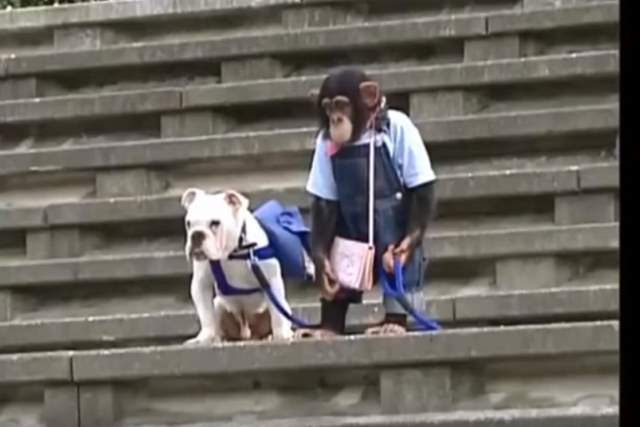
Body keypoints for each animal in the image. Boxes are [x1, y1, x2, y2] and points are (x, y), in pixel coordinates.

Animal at [298, 67, 438, 342]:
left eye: (342, 104)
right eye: (328, 107)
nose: (335, 119)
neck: (362, 132)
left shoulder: (404, 129)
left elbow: (421, 188)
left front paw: (404, 249)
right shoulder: (322, 145)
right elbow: (325, 204)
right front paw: (323, 269)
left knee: (403, 276)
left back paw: (393, 323)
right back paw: (329, 326)